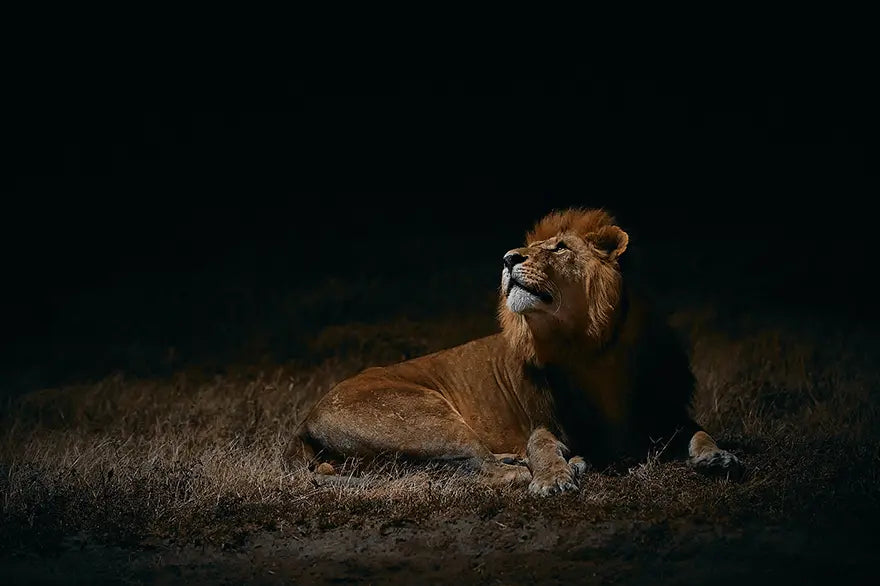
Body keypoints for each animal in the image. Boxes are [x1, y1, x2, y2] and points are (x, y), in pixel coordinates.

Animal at [288, 208, 743, 495]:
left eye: (559, 247)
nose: (508, 257)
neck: (592, 349)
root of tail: (307, 418)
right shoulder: (544, 422)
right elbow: (539, 446)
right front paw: (553, 476)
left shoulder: (666, 411)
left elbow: (698, 430)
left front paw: (718, 457)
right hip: (427, 418)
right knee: (483, 471)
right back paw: (554, 466)